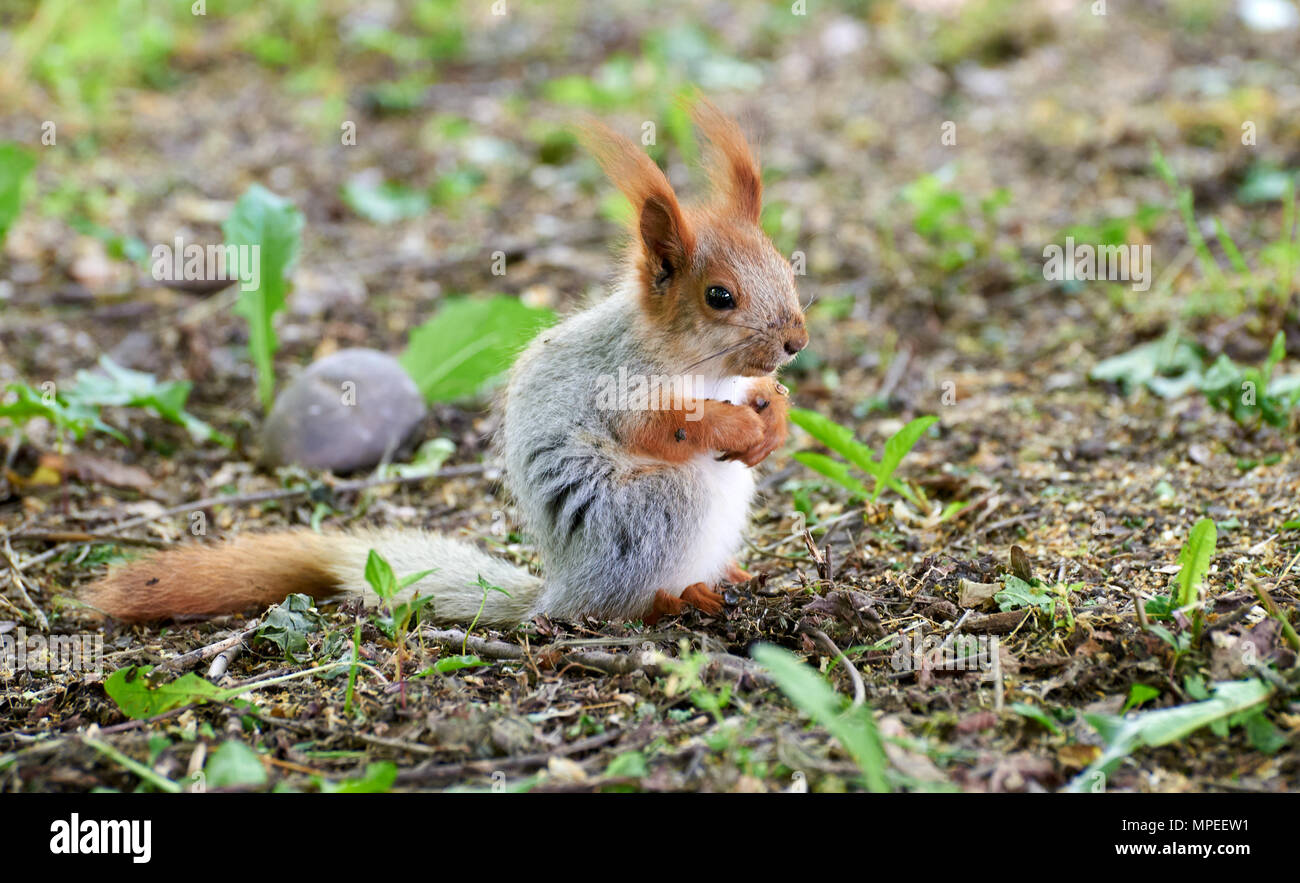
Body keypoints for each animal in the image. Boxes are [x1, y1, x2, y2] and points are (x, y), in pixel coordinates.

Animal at [83, 98, 800, 629]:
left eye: (784, 262)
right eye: (719, 296)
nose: (797, 340)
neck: (697, 363)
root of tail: (560, 591)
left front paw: (773, 414)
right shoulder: (618, 385)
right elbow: (662, 429)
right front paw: (736, 425)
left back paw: (730, 575)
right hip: (655, 513)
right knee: (624, 603)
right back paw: (678, 597)